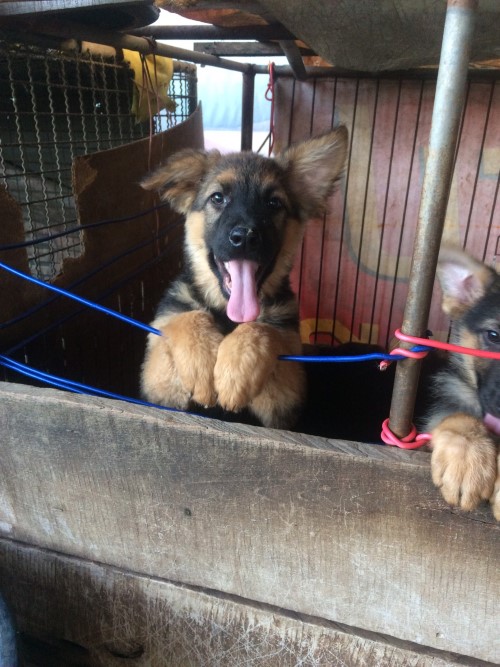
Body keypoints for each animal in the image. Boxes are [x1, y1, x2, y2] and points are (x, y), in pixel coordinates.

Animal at [139, 128, 348, 429]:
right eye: (217, 198)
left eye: (274, 203)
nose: (245, 237)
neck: (227, 316)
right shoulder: (155, 383)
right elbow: (187, 318)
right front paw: (202, 364)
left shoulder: (288, 393)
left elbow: (263, 329)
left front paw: (236, 371)